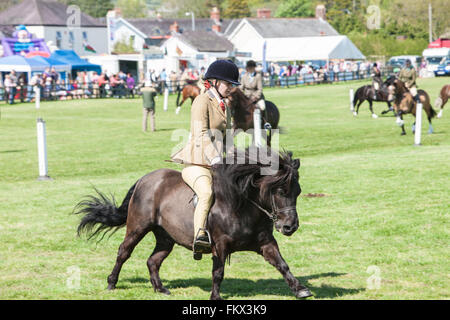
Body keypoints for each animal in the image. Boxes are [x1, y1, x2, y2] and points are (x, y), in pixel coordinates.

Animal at [74, 148, 312, 300]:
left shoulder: (265, 243)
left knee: (153, 261)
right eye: (280, 191)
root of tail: (145, 179)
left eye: (298, 191)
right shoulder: (219, 245)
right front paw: (215, 297)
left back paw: (160, 289)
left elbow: (282, 264)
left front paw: (300, 290)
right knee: (124, 252)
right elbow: (218, 272)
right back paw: (111, 283)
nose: (290, 227)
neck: (242, 206)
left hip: (166, 237)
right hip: (138, 227)